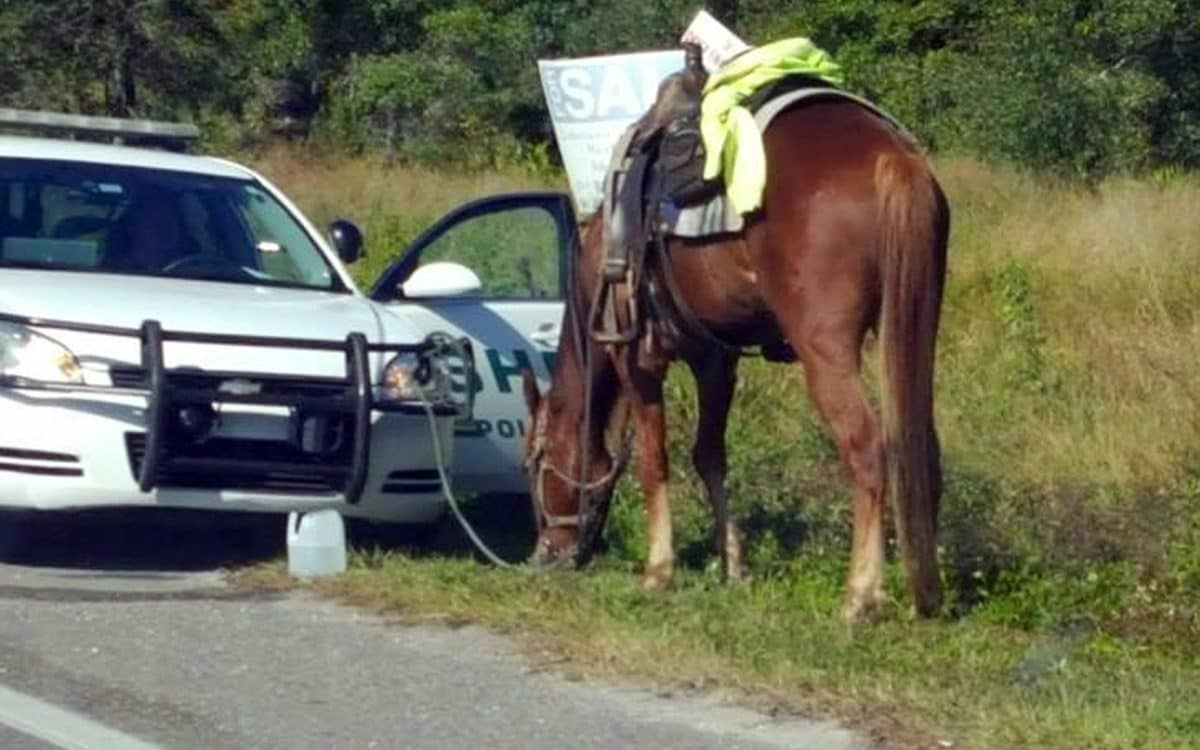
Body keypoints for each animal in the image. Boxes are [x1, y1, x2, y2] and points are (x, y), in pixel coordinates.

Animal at [520, 96, 950, 619]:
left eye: (534, 462)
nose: (544, 554)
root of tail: (892, 156)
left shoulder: (636, 359)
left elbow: (653, 461)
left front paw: (658, 570)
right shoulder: (715, 361)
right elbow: (710, 457)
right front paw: (734, 567)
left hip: (826, 352)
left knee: (867, 449)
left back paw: (859, 595)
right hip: (912, 328)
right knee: (921, 445)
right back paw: (924, 592)